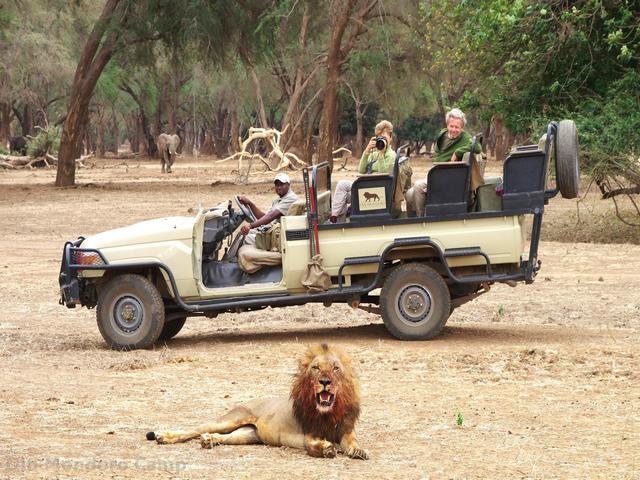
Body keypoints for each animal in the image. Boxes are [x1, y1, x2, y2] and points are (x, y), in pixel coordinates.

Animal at [147, 343, 368, 459]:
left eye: (335, 368)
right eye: (316, 368)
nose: (325, 381)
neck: (329, 412)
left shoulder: (346, 431)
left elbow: (352, 442)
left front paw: (358, 450)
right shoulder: (308, 435)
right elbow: (314, 445)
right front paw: (327, 448)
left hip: (247, 435)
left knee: (224, 436)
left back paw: (209, 440)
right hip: (231, 419)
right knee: (195, 429)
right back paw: (164, 436)